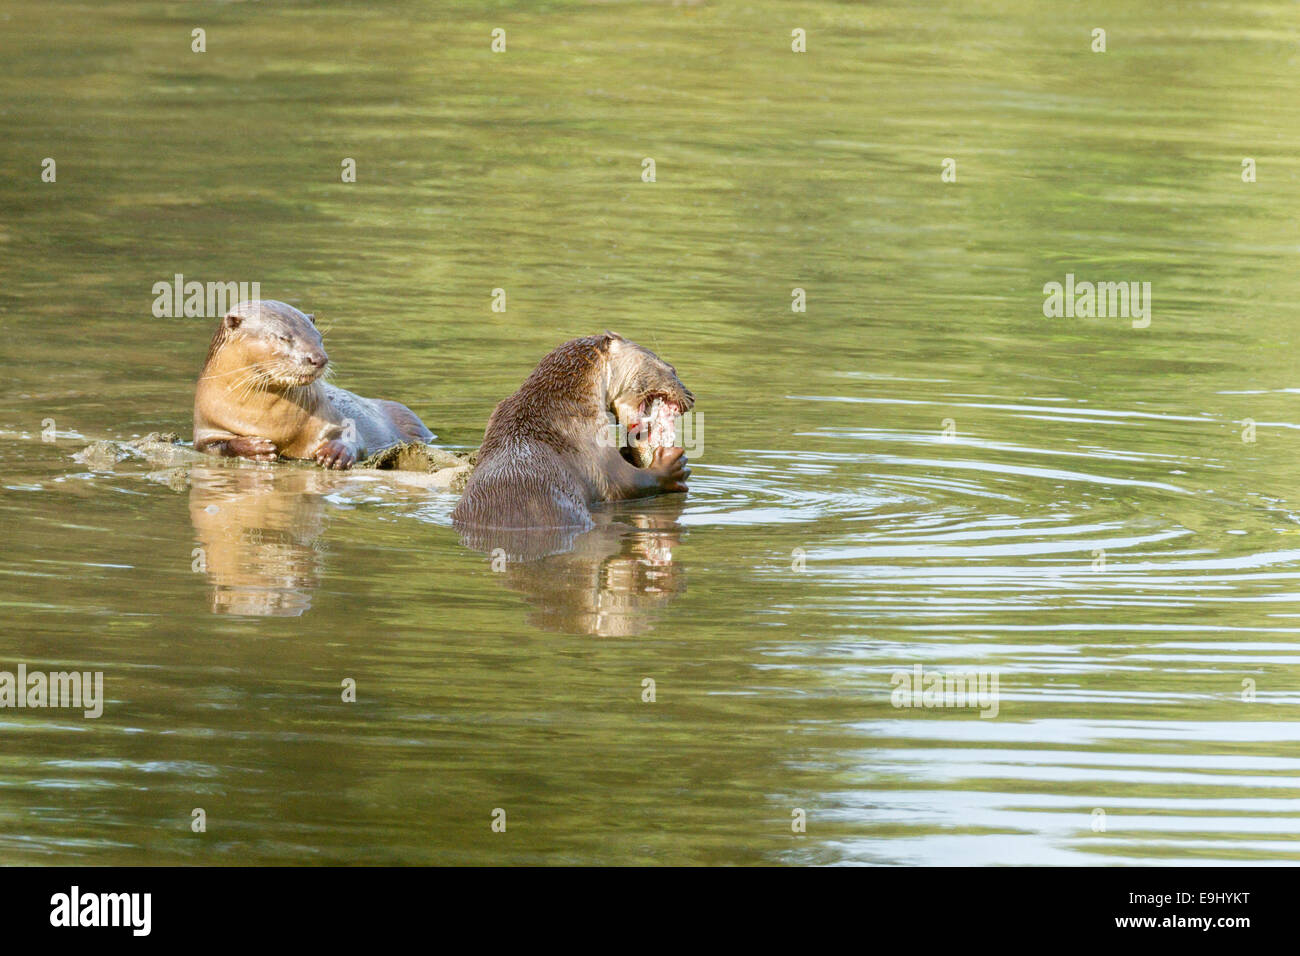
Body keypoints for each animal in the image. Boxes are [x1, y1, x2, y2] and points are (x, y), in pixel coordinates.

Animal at [193, 295, 431, 468]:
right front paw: (253, 448)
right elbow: (215, 446)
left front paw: (336, 452)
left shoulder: (327, 414)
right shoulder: (206, 426)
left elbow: (351, 434)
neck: (264, 419)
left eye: (319, 338)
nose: (318, 358)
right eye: (283, 337)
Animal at [449, 332, 691, 530]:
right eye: (671, 369)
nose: (691, 395)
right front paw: (672, 465)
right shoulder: (591, 443)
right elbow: (625, 483)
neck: (561, 402)